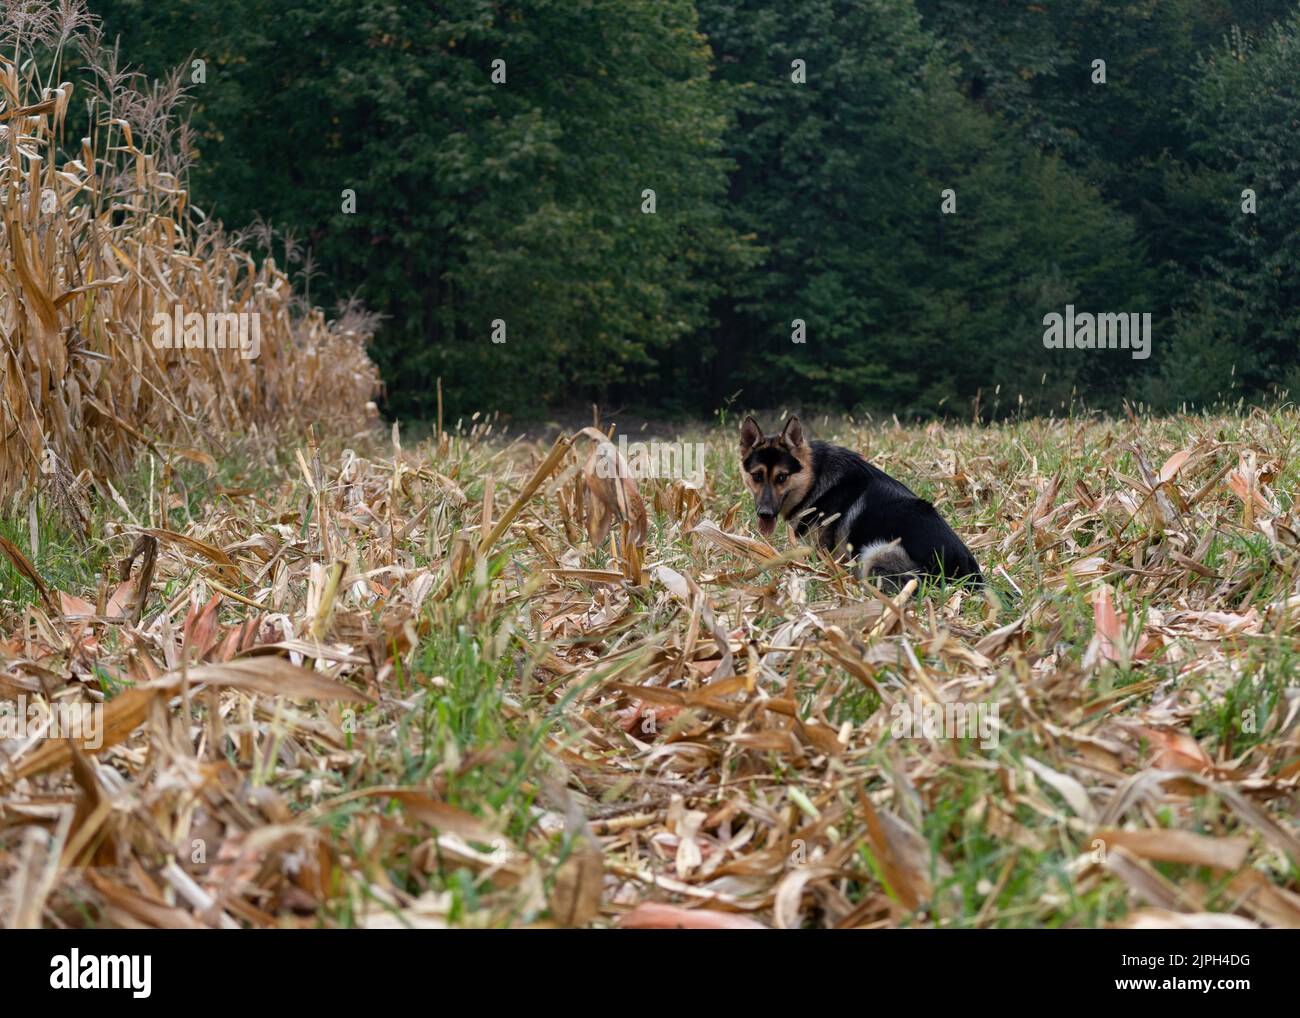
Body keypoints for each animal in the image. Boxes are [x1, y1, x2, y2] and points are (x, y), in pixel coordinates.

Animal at [738, 416, 977, 590]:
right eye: (757, 476)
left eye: (782, 477)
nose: (765, 514)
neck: (813, 478)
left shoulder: (824, 556)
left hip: (876, 551)